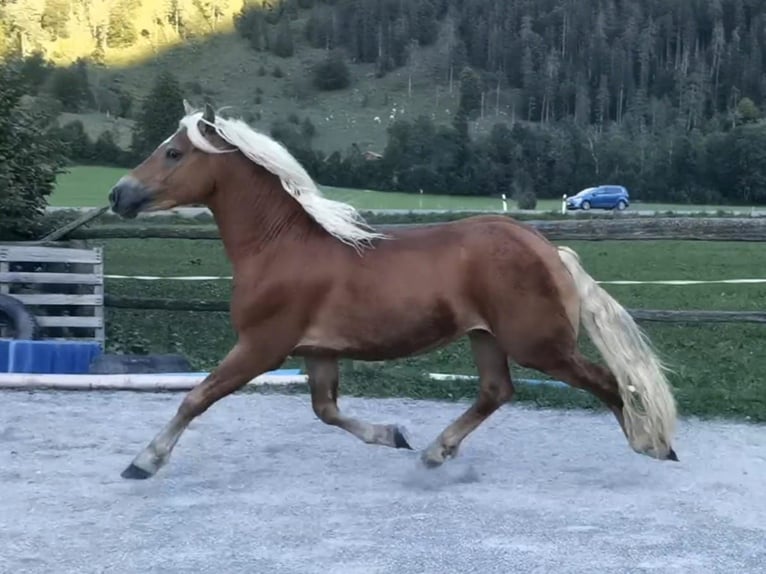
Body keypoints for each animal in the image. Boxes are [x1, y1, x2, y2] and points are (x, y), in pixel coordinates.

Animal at [106, 103, 680, 482]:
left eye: (173, 152)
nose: (118, 195)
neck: (279, 246)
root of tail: (547, 248)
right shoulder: (317, 351)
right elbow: (326, 410)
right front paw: (393, 435)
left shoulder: (260, 347)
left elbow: (196, 397)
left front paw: (143, 461)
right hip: (486, 338)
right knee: (496, 392)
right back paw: (434, 451)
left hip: (540, 345)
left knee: (608, 382)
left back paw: (651, 446)